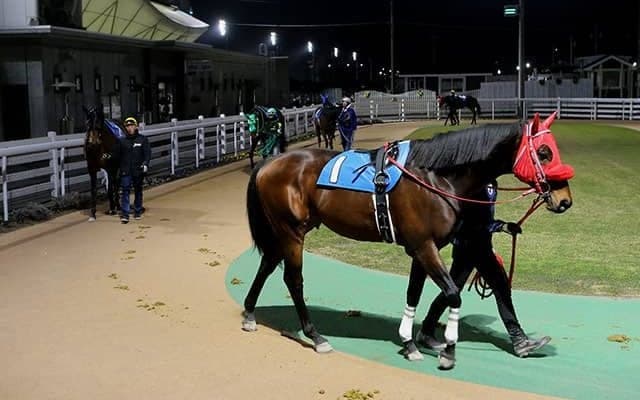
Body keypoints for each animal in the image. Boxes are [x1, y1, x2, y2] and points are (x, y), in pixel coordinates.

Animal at [241, 112, 574, 370]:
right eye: (544, 152)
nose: (565, 200)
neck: (435, 177)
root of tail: (268, 163)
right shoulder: (424, 246)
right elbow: (453, 294)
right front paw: (448, 351)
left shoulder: (420, 248)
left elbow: (414, 292)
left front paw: (410, 343)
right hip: (291, 231)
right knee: (293, 279)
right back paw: (315, 336)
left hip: (287, 230)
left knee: (267, 264)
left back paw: (249, 314)